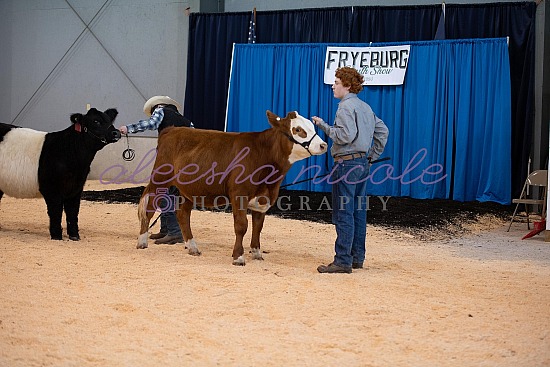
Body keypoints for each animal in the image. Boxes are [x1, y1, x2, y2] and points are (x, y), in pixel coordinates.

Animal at [0, 108, 121, 242]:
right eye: (96, 121)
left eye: (109, 120)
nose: (116, 133)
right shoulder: (51, 189)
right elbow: (56, 212)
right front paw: (57, 236)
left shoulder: (77, 187)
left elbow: (73, 211)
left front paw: (75, 236)